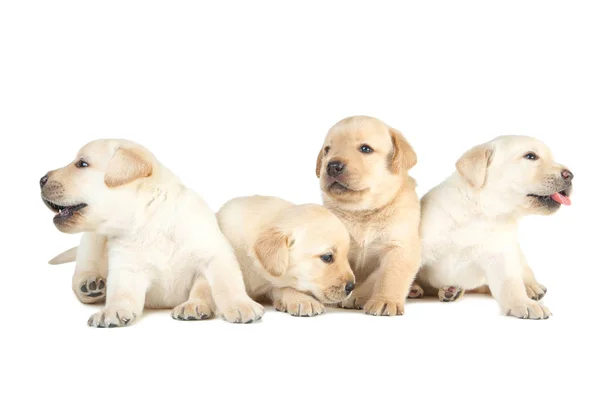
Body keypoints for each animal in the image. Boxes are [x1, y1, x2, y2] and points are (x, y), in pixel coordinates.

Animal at [43, 139, 264, 326]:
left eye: (82, 164)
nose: (41, 179)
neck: (150, 222)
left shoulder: (214, 254)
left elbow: (222, 284)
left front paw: (234, 305)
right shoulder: (128, 269)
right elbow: (121, 294)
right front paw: (112, 310)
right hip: (90, 240)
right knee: (82, 272)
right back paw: (90, 285)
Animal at [316, 115, 420, 316]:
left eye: (365, 149)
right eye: (327, 150)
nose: (332, 166)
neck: (363, 212)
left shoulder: (400, 247)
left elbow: (390, 276)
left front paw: (385, 301)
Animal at [412, 136, 572, 320]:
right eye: (531, 156)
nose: (570, 175)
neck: (483, 213)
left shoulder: (500, 257)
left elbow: (511, 284)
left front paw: (524, 303)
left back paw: (532, 287)